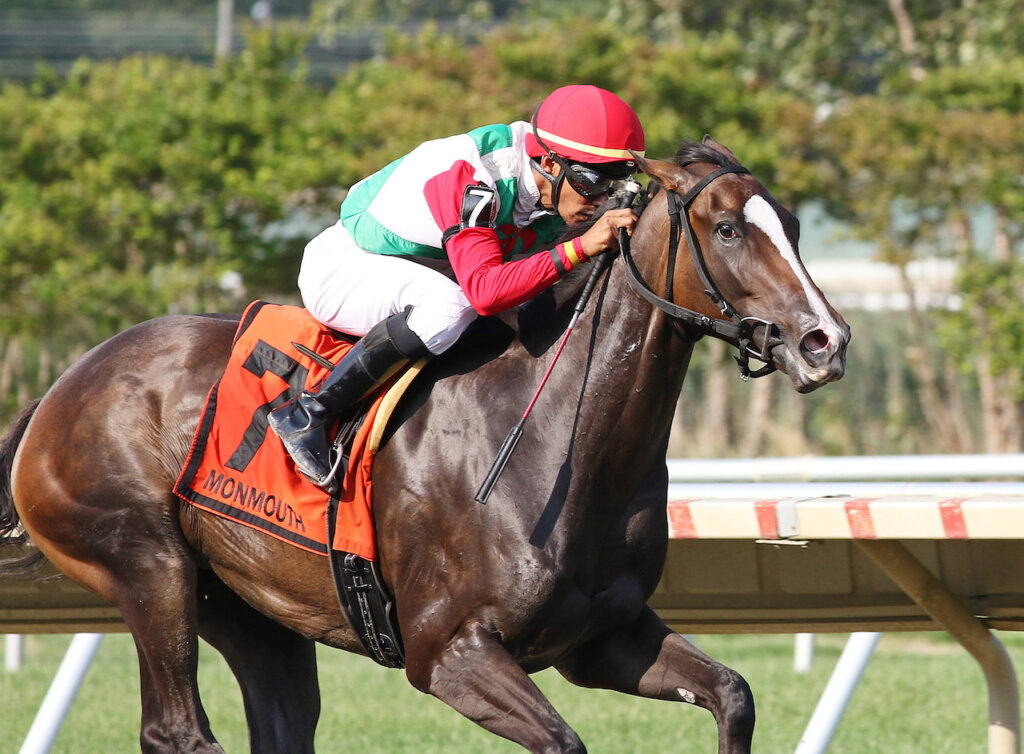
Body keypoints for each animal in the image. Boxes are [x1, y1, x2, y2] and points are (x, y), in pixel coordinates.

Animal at [0, 138, 847, 749]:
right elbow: (563, 741)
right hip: (150, 567)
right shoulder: (448, 651)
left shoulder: (604, 637)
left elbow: (732, 694)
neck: (559, 439)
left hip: (251, 608)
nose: (825, 342)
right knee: (178, 729)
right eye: (729, 229)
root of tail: (61, 387)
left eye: (797, 227)